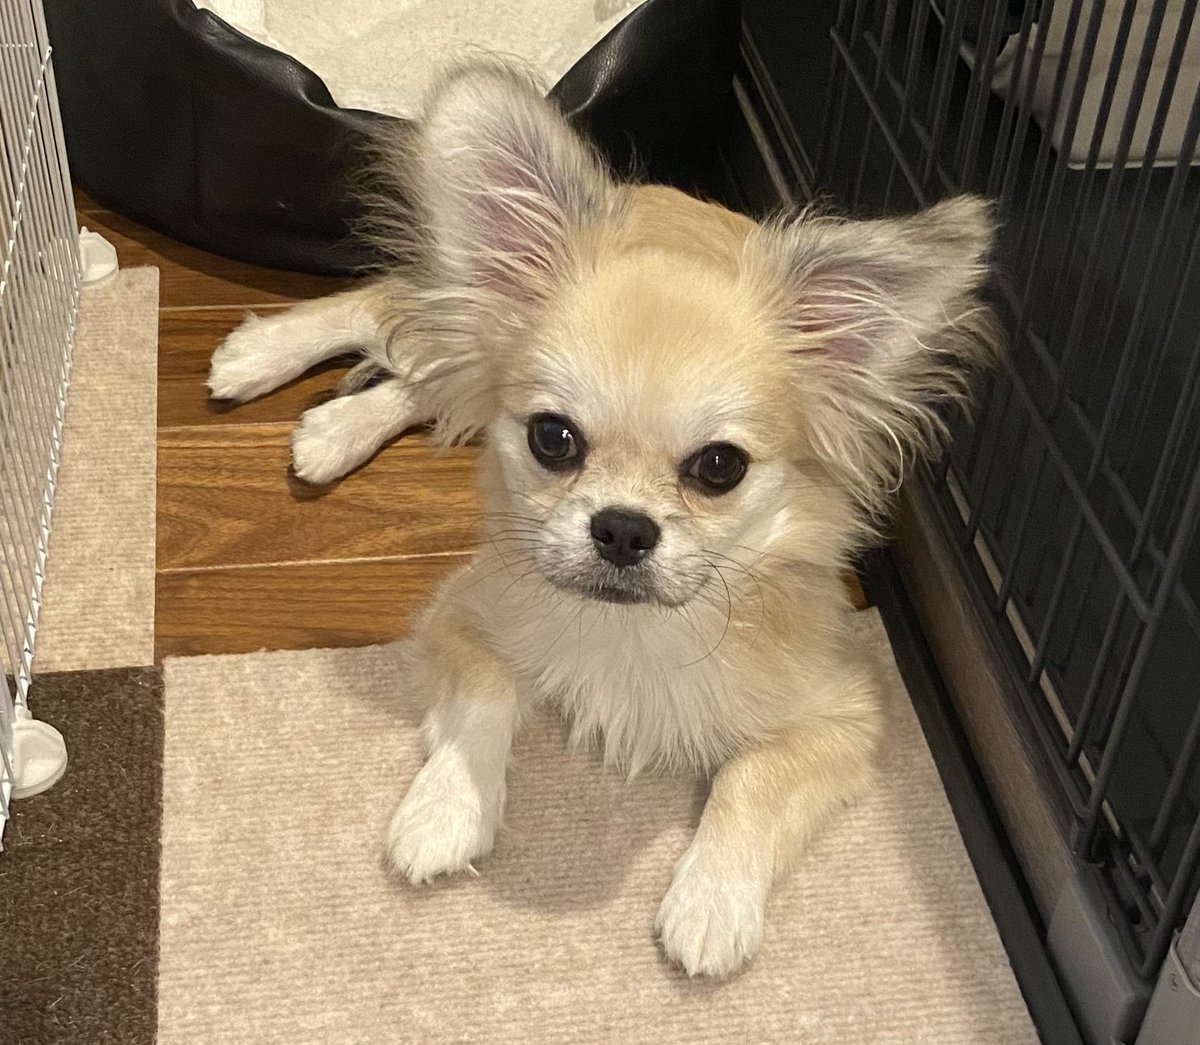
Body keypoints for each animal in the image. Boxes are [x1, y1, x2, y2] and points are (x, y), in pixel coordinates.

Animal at [207, 62, 997, 978]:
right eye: (553, 438)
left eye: (719, 467)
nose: (622, 527)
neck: (633, 629)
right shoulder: (460, 615)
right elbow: (486, 693)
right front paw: (445, 810)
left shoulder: (845, 714)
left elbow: (750, 778)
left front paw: (710, 903)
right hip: (456, 312)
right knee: (383, 312)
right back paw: (260, 357)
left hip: (457, 348)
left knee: (416, 378)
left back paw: (335, 429)